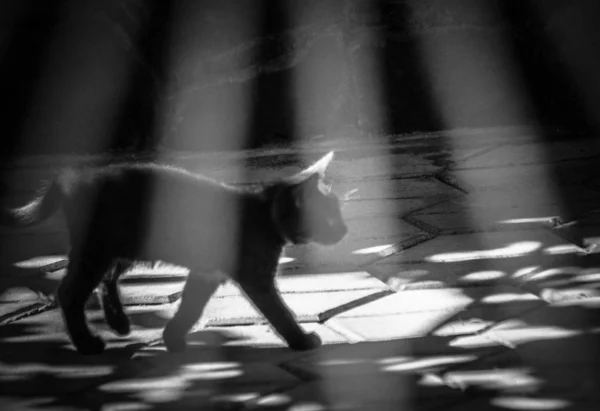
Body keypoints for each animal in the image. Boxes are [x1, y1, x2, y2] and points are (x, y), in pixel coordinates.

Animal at [1, 151, 346, 354]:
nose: (344, 230)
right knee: (70, 292)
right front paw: (301, 340)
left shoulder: (207, 273)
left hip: (122, 247)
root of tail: (75, 179)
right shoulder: (255, 277)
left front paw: (173, 336)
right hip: (97, 249)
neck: (265, 213)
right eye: (329, 215)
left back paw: (119, 322)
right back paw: (86, 342)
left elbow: (191, 306)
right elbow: (279, 311)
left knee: (107, 279)